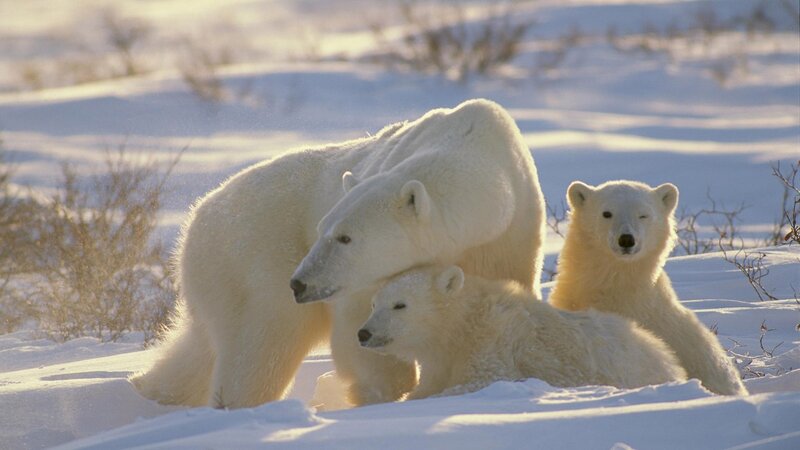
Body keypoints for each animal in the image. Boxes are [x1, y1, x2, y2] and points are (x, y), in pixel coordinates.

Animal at [131, 99, 546, 408]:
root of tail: (196, 216)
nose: (300, 283)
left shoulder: (510, 237)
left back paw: (148, 389)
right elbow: (359, 327)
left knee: (200, 348)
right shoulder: (362, 281)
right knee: (263, 343)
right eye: (322, 229)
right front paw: (384, 391)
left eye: (345, 237)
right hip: (252, 257)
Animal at [358, 264, 687, 400]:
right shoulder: (440, 358)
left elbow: (484, 380)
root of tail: (668, 358)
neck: (463, 324)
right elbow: (428, 384)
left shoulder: (493, 342)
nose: (364, 333)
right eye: (374, 303)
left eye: (400, 304)